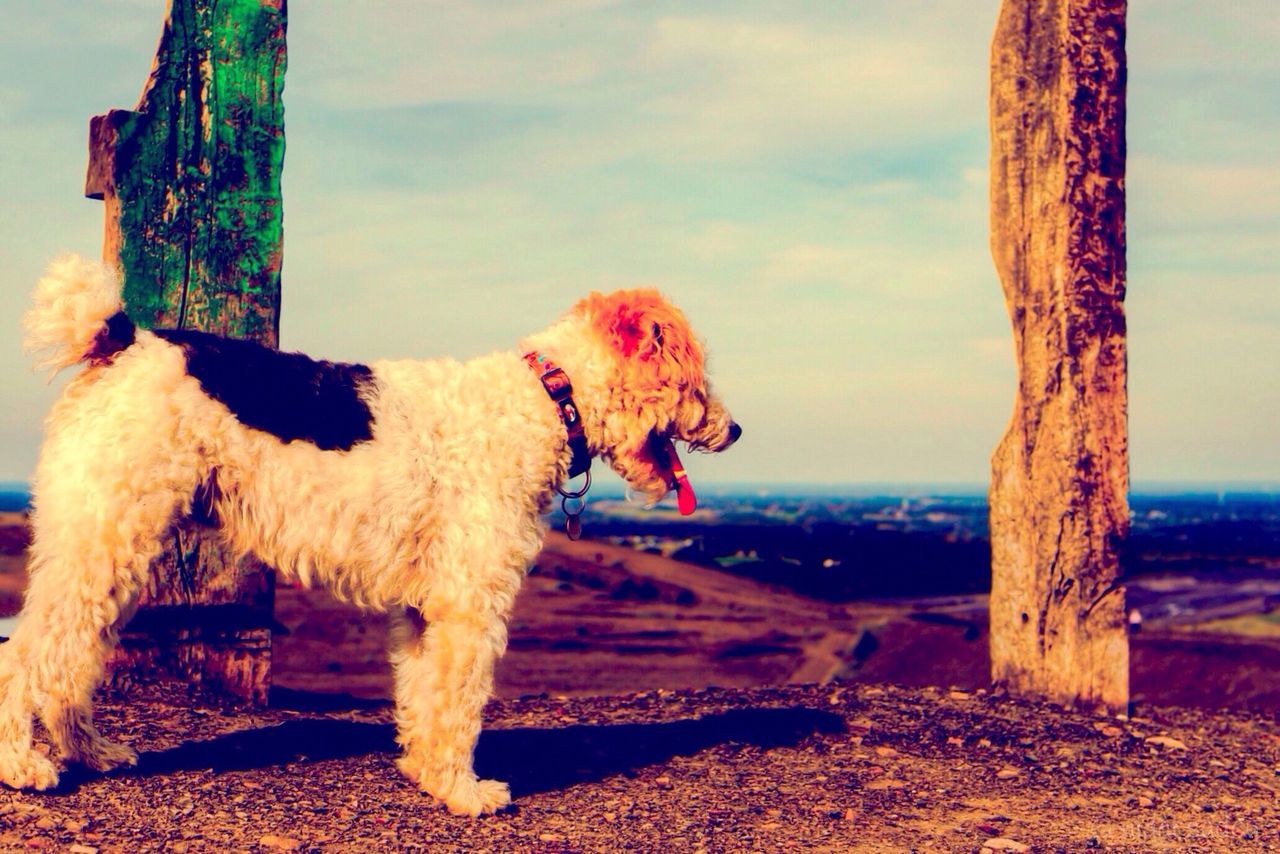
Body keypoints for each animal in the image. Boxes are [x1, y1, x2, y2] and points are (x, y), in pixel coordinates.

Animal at [0, 257, 742, 819]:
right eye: (690, 368)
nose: (734, 431)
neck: (543, 400)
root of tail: (120, 339)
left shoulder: (426, 608)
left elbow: (427, 695)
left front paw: (428, 776)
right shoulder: (470, 605)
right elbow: (461, 700)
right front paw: (466, 793)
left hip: (112, 555)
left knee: (66, 666)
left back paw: (93, 753)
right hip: (102, 546)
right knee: (25, 659)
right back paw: (24, 765)